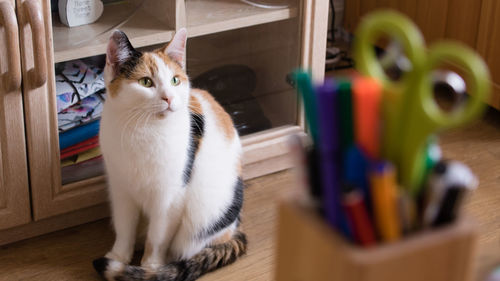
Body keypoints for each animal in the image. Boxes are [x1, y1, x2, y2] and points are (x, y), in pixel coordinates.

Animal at [93, 28, 247, 280]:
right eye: (146, 82)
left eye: (175, 80)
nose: (169, 98)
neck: (142, 131)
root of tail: (235, 228)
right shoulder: (120, 189)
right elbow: (124, 227)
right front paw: (119, 257)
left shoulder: (170, 197)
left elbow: (157, 237)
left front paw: (150, 267)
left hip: (203, 217)